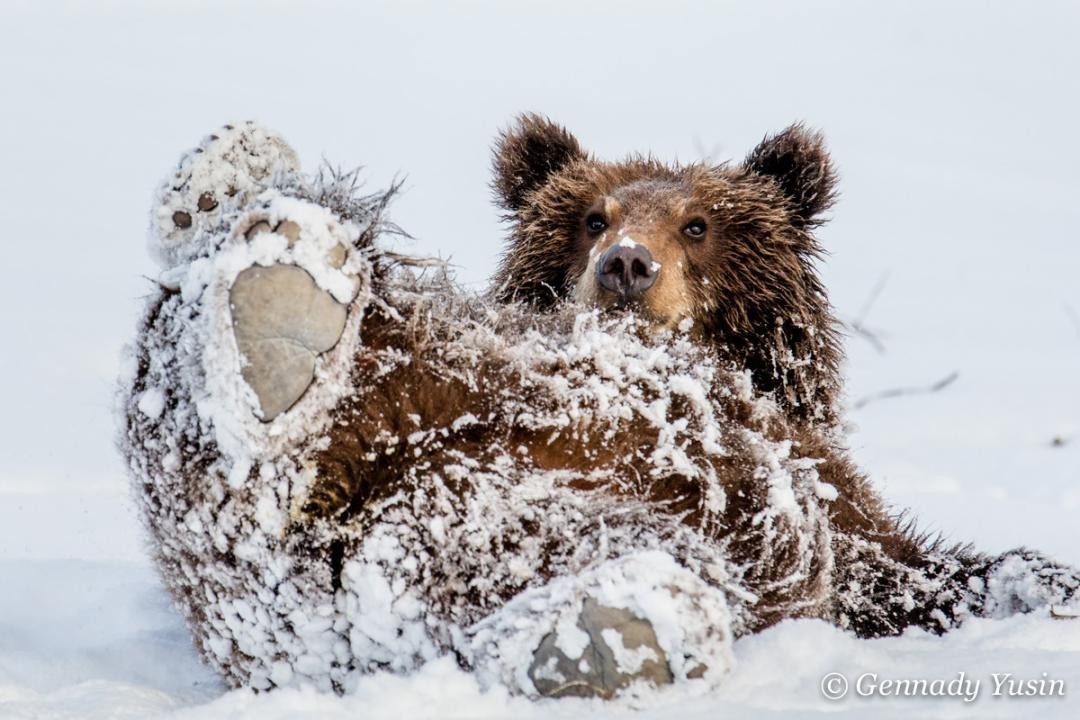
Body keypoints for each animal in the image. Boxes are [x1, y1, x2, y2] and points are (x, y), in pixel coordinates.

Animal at [120, 115, 1080, 699]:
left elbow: (913, 570)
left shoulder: (834, 513)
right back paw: (247, 230)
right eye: (591, 216)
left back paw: (612, 631)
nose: (626, 265)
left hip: (491, 519)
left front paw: (1047, 585)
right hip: (438, 372)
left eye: (698, 223)